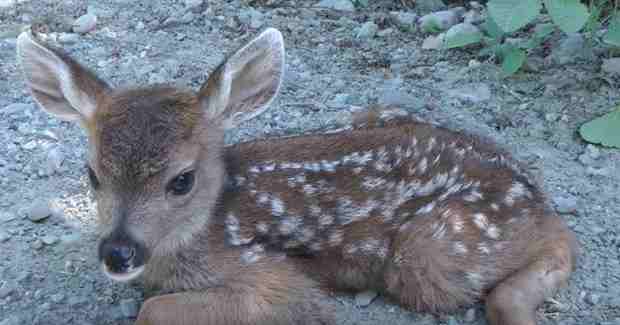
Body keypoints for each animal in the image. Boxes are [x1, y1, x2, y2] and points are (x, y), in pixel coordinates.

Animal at [17, 27, 580, 324]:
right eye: (91, 174)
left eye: (182, 180)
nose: (118, 253)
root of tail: (532, 191)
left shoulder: (274, 280)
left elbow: (152, 310)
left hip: (434, 251)